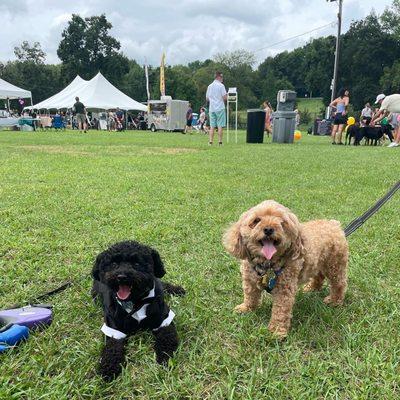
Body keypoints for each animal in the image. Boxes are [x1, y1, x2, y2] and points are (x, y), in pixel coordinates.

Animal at [91, 241, 185, 382]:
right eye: (114, 264)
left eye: (136, 263)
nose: (121, 277)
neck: (136, 302)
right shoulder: (114, 329)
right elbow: (112, 349)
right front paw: (108, 369)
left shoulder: (164, 320)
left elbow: (167, 338)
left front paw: (164, 357)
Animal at [223, 200, 348, 338]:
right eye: (256, 220)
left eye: (282, 222)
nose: (268, 229)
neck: (267, 264)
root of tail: (334, 225)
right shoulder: (249, 280)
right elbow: (250, 296)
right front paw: (246, 308)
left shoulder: (284, 288)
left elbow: (281, 311)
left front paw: (277, 331)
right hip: (318, 261)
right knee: (318, 275)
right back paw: (312, 288)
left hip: (335, 265)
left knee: (339, 284)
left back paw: (334, 301)